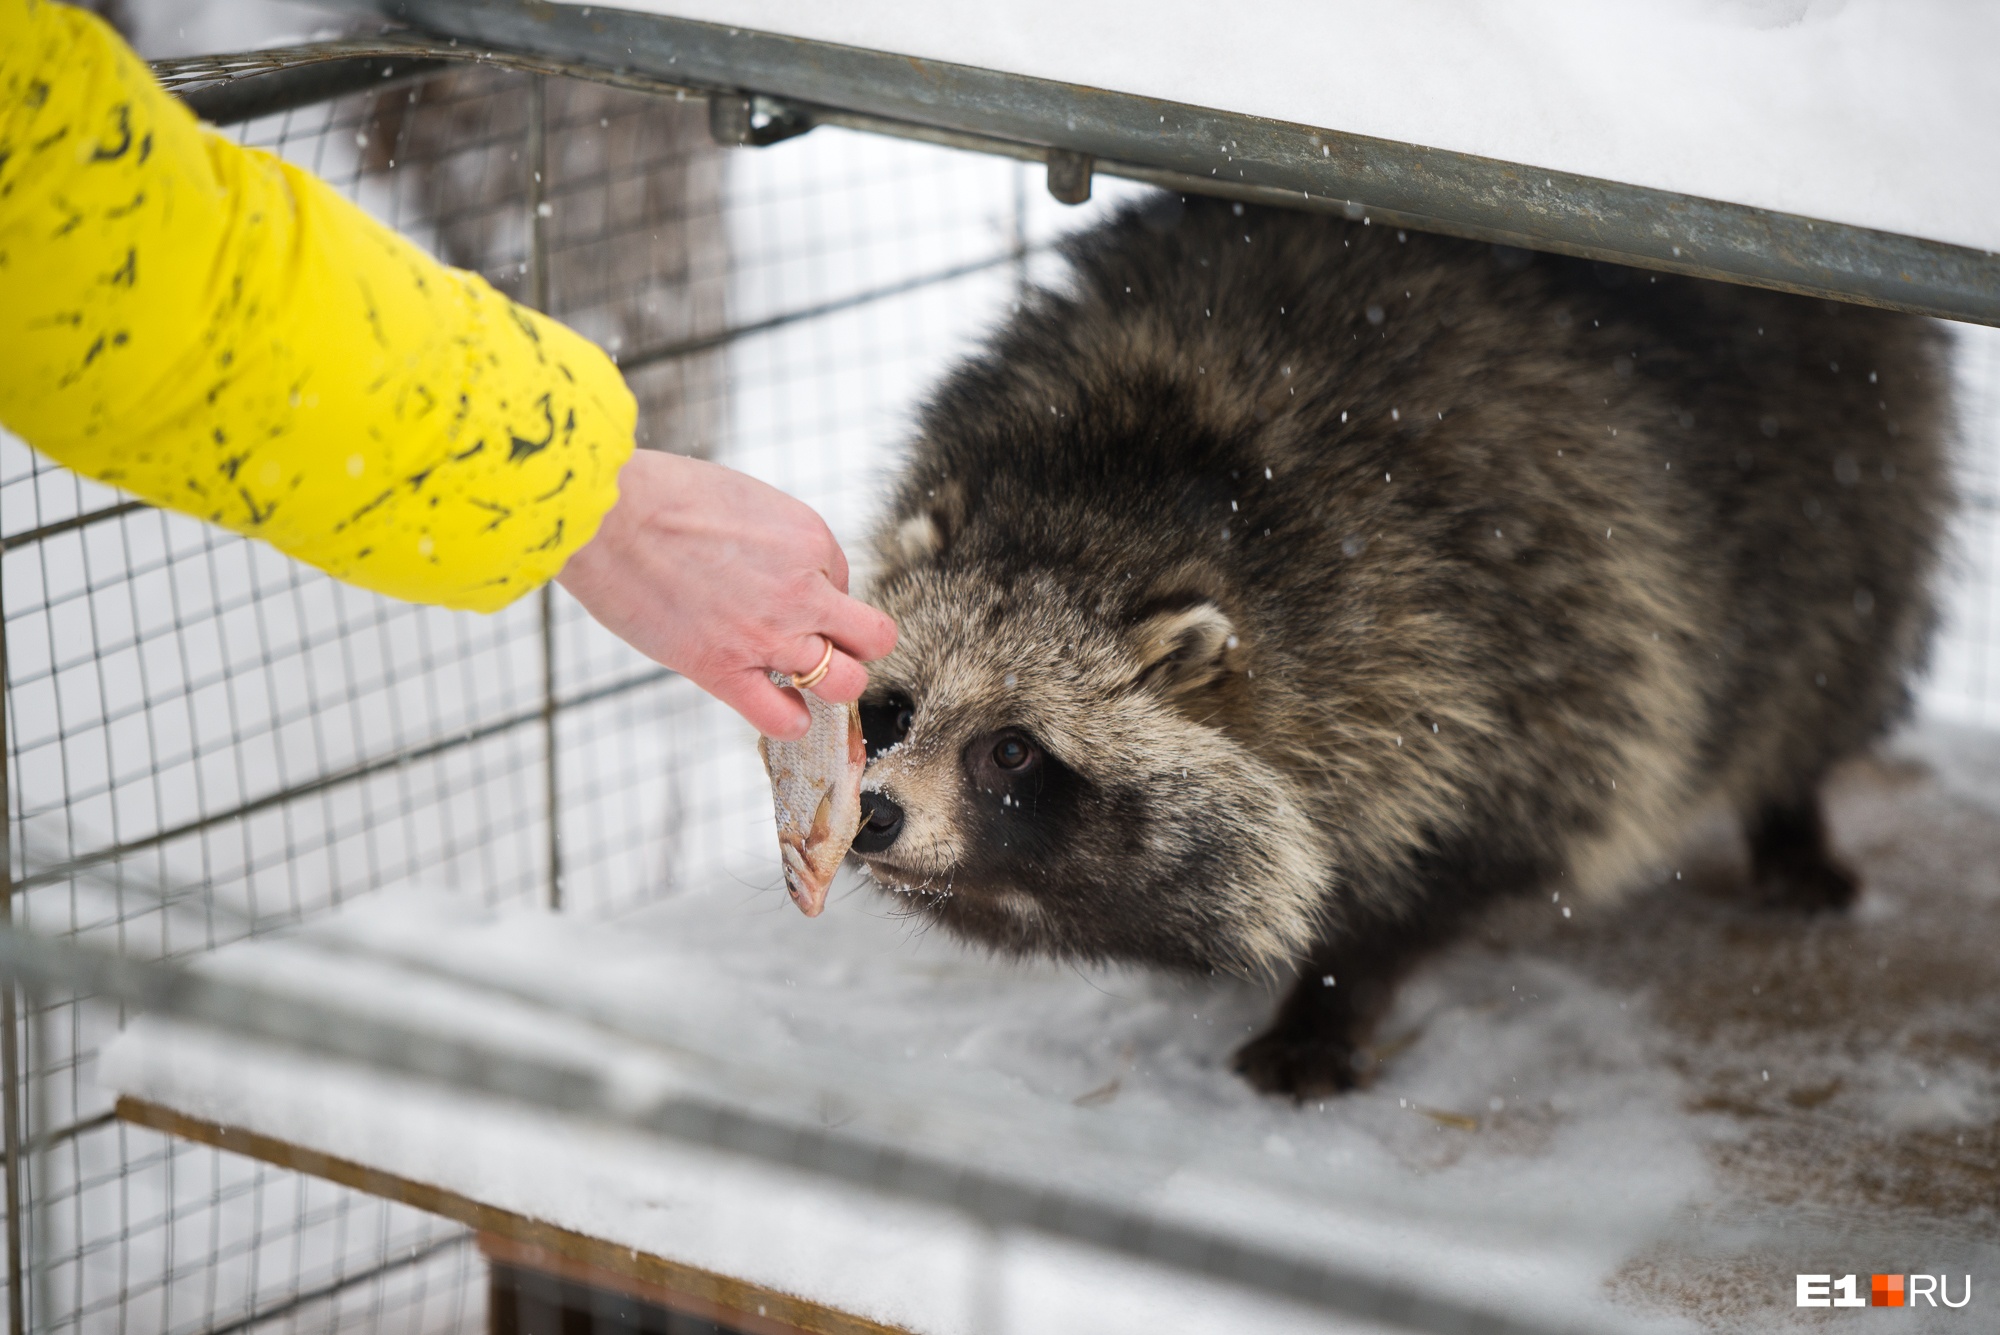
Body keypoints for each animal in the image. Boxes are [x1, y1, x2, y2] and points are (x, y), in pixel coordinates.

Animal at [848, 195, 1952, 1095]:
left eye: (1010, 749)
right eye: (891, 710)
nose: (873, 812)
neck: (1107, 494)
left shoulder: (1537, 646)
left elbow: (1445, 863)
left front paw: (1332, 994)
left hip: (1853, 496)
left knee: (1822, 653)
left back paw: (1790, 802)